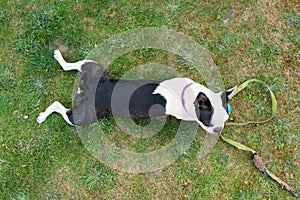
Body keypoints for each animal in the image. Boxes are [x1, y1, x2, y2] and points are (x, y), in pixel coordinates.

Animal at [37, 50, 237, 134]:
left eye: (225, 120)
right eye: (208, 123)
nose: (218, 130)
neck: (189, 94)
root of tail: (93, 88)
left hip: (95, 68)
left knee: (73, 66)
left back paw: (59, 57)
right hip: (85, 116)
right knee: (60, 107)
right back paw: (42, 116)